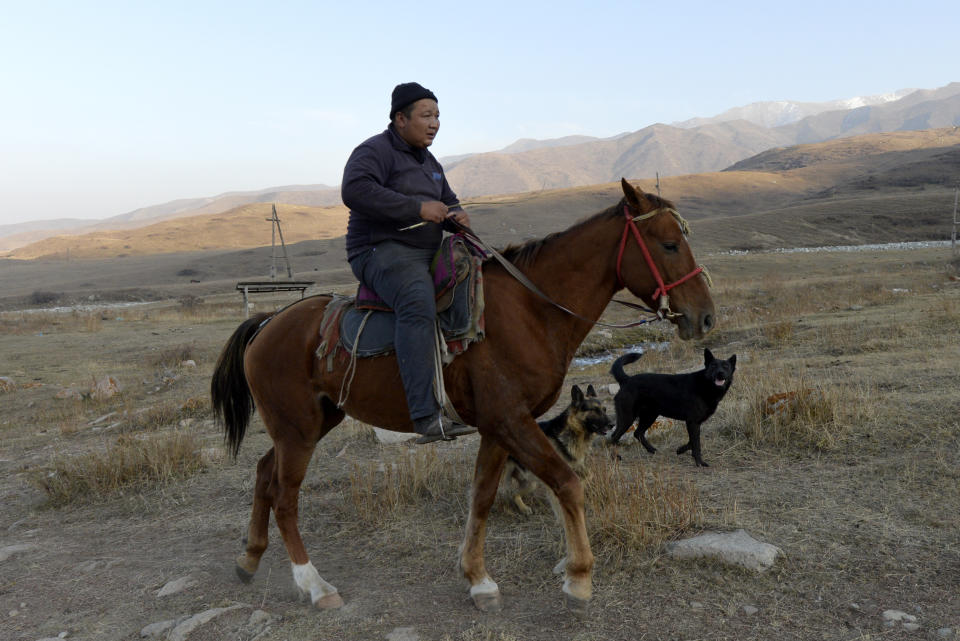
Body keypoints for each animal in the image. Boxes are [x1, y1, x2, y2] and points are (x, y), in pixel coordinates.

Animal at [506, 384, 612, 516]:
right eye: (595, 410)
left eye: (604, 410)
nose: (612, 424)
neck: (572, 431)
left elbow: (588, 475)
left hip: (530, 482)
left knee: (513, 493)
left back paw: (523, 508)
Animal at [612, 348, 740, 468]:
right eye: (713, 366)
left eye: (726, 367)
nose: (720, 373)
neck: (706, 385)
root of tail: (627, 380)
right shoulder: (692, 422)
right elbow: (696, 444)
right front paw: (699, 462)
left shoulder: (695, 423)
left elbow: (692, 441)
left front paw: (680, 450)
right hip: (628, 418)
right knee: (614, 437)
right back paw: (615, 457)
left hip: (649, 416)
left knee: (637, 433)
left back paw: (652, 450)